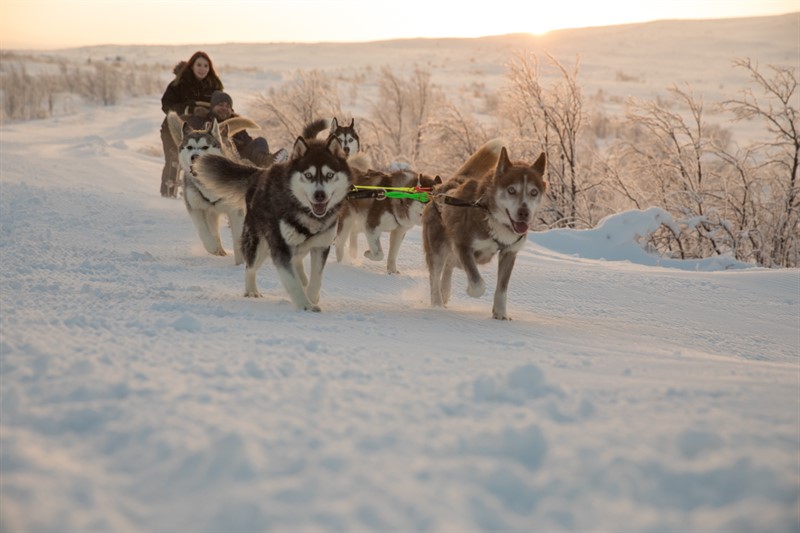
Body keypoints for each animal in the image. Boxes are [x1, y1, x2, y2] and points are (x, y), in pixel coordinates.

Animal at [192, 130, 352, 310]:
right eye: (308, 175)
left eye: (329, 175)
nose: (320, 195)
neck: (307, 214)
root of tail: (260, 172)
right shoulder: (280, 248)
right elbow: (292, 281)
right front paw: (304, 304)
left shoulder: (321, 246)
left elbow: (316, 279)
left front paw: (312, 297)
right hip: (259, 244)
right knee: (250, 267)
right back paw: (252, 291)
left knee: (297, 262)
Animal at [422, 139, 548, 318]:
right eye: (511, 190)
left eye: (534, 192)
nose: (524, 213)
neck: (493, 218)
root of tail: (443, 187)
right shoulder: (463, 245)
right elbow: (478, 284)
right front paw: (471, 289)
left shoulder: (509, 253)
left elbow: (502, 289)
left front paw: (500, 314)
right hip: (437, 248)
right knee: (435, 275)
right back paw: (437, 303)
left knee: (449, 266)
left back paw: (445, 292)